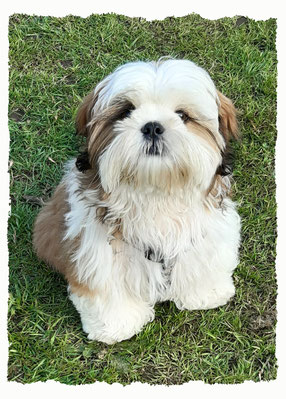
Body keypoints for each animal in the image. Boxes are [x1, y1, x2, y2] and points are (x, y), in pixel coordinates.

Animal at [33, 58, 241, 344]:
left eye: (183, 116)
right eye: (125, 112)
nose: (152, 126)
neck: (155, 190)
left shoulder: (207, 231)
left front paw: (206, 293)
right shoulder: (96, 248)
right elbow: (106, 287)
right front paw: (114, 325)